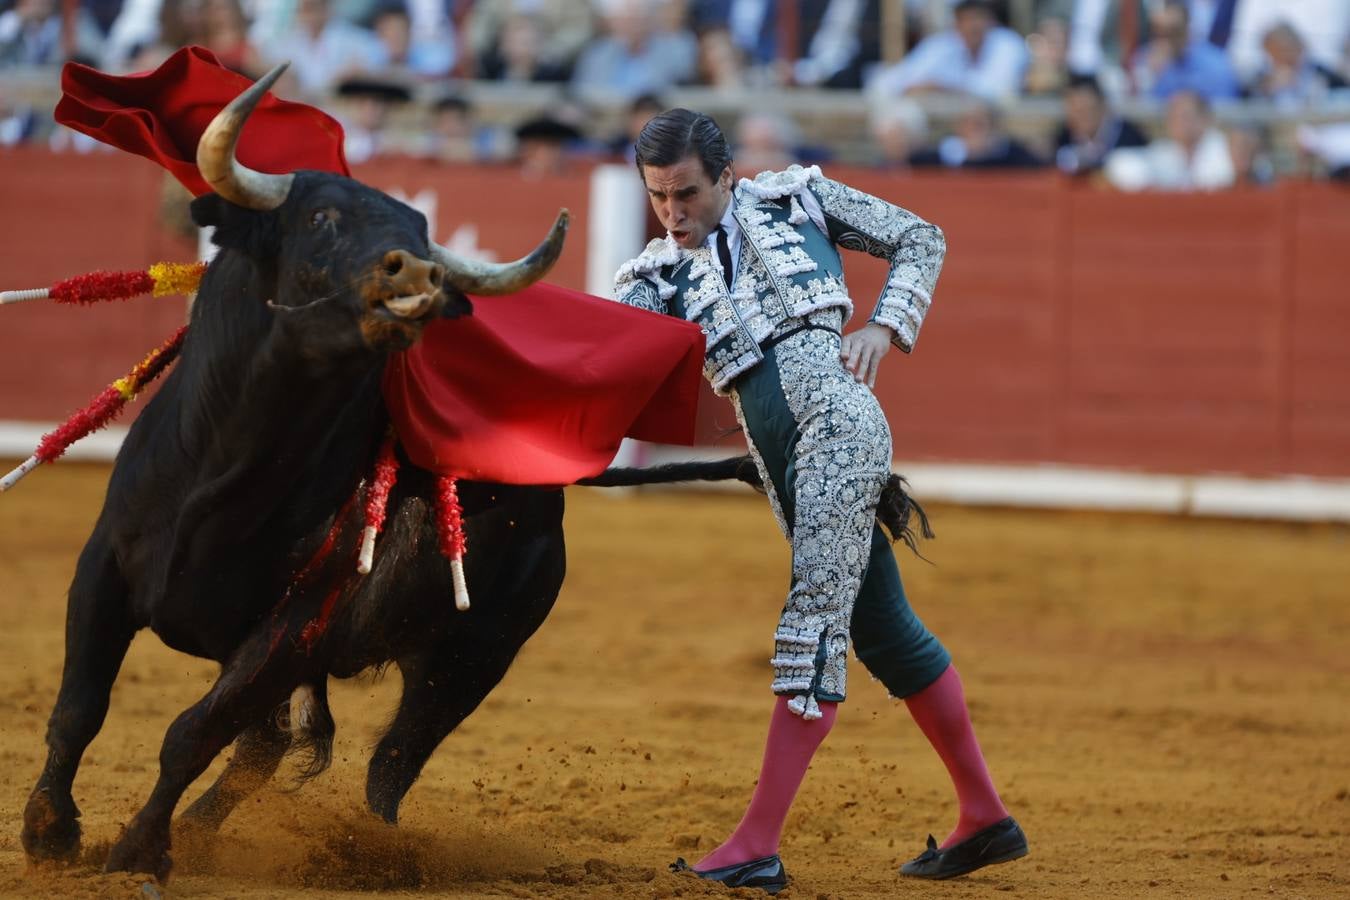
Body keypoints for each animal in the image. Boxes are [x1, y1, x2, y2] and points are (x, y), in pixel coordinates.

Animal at [21, 68, 756, 879]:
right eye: (322, 218)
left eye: (416, 235)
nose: (419, 274)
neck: (233, 463)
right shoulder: (104, 570)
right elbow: (80, 707)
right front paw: (50, 833)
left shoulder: (296, 626)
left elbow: (191, 733)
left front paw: (138, 850)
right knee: (270, 746)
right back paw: (207, 833)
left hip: (468, 662)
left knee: (385, 766)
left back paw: (356, 850)